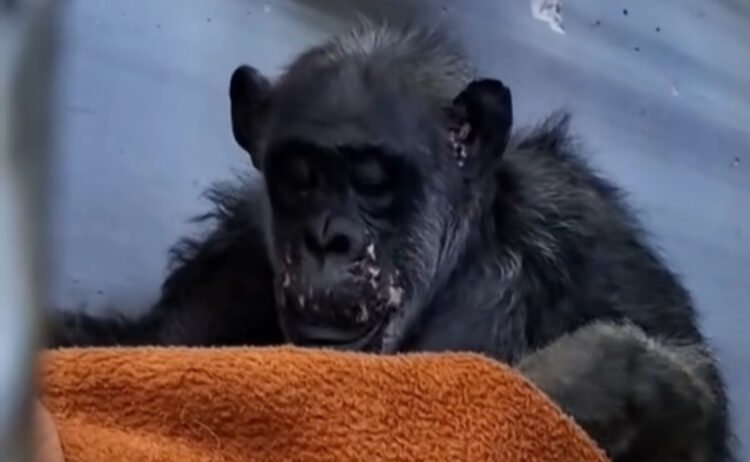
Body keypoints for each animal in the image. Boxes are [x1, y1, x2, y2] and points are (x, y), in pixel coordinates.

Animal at [49, 22, 733, 462]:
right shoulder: (232, 254)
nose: (327, 238)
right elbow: (137, 348)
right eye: (300, 175)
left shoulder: (593, 241)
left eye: (373, 179)